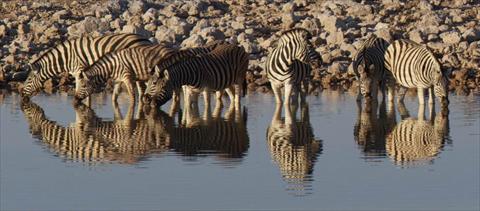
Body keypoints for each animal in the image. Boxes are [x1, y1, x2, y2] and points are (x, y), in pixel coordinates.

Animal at [20, 33, 150, 101]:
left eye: (29, 80)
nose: (22, 95)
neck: (67, 57)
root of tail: (146, 39)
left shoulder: (80, 71)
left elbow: (80, 88)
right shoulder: (78, 73)